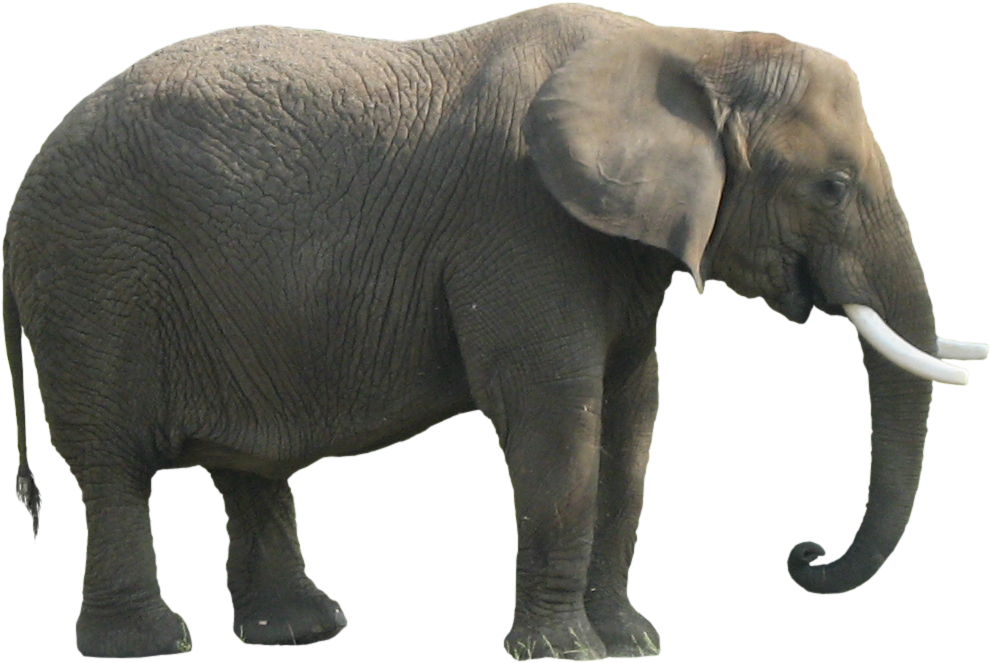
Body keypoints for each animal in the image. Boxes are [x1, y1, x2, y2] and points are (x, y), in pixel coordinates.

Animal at [5, 3, 987, 660]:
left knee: (247, 466)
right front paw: (569, 654)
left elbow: (633, 416)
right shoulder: (518, 223)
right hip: (95, 283)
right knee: (112, 467)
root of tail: (14, 215)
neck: (687, 46)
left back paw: (301, 629)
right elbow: (557, 411)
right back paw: (148, 645)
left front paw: (631, 645)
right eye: (831, 187)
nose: (804, 554)